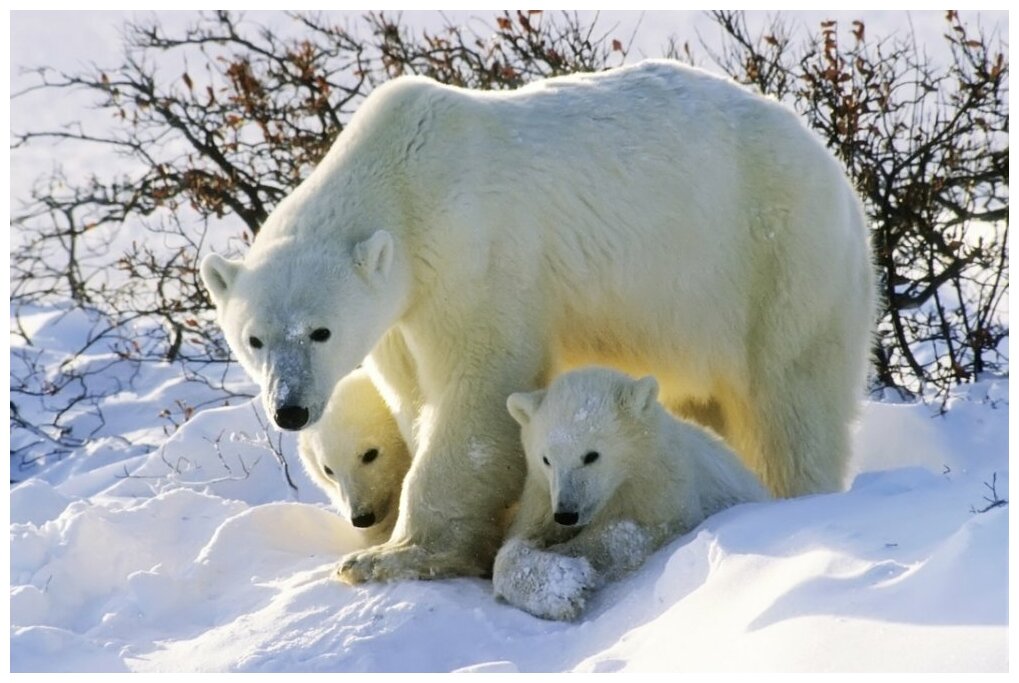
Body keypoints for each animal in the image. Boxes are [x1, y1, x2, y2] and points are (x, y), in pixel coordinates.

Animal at [491, 369, 766, 619]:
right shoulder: (542, 498)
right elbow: (514, 544)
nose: (567, 513)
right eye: (546, 459)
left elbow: (630, 534)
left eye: (591, 455)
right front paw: (560, 585)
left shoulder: (665, 492)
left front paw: (570, 561)